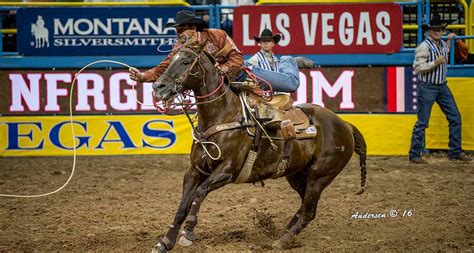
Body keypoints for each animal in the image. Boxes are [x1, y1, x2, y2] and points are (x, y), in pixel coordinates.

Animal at [151, 45, 366, 251]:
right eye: (170, 59)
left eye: (186, 61)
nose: (158, 86)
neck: (224, 115)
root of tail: (345, 124)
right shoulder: (194, 171)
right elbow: (182, 207)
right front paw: (165, 242)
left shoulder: (228, 170)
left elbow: (199, 193)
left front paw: (188, 232)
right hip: (297, 175)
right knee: (305, 208)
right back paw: (283, 233)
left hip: (320, 176)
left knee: (308, 211)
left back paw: (282, 241)